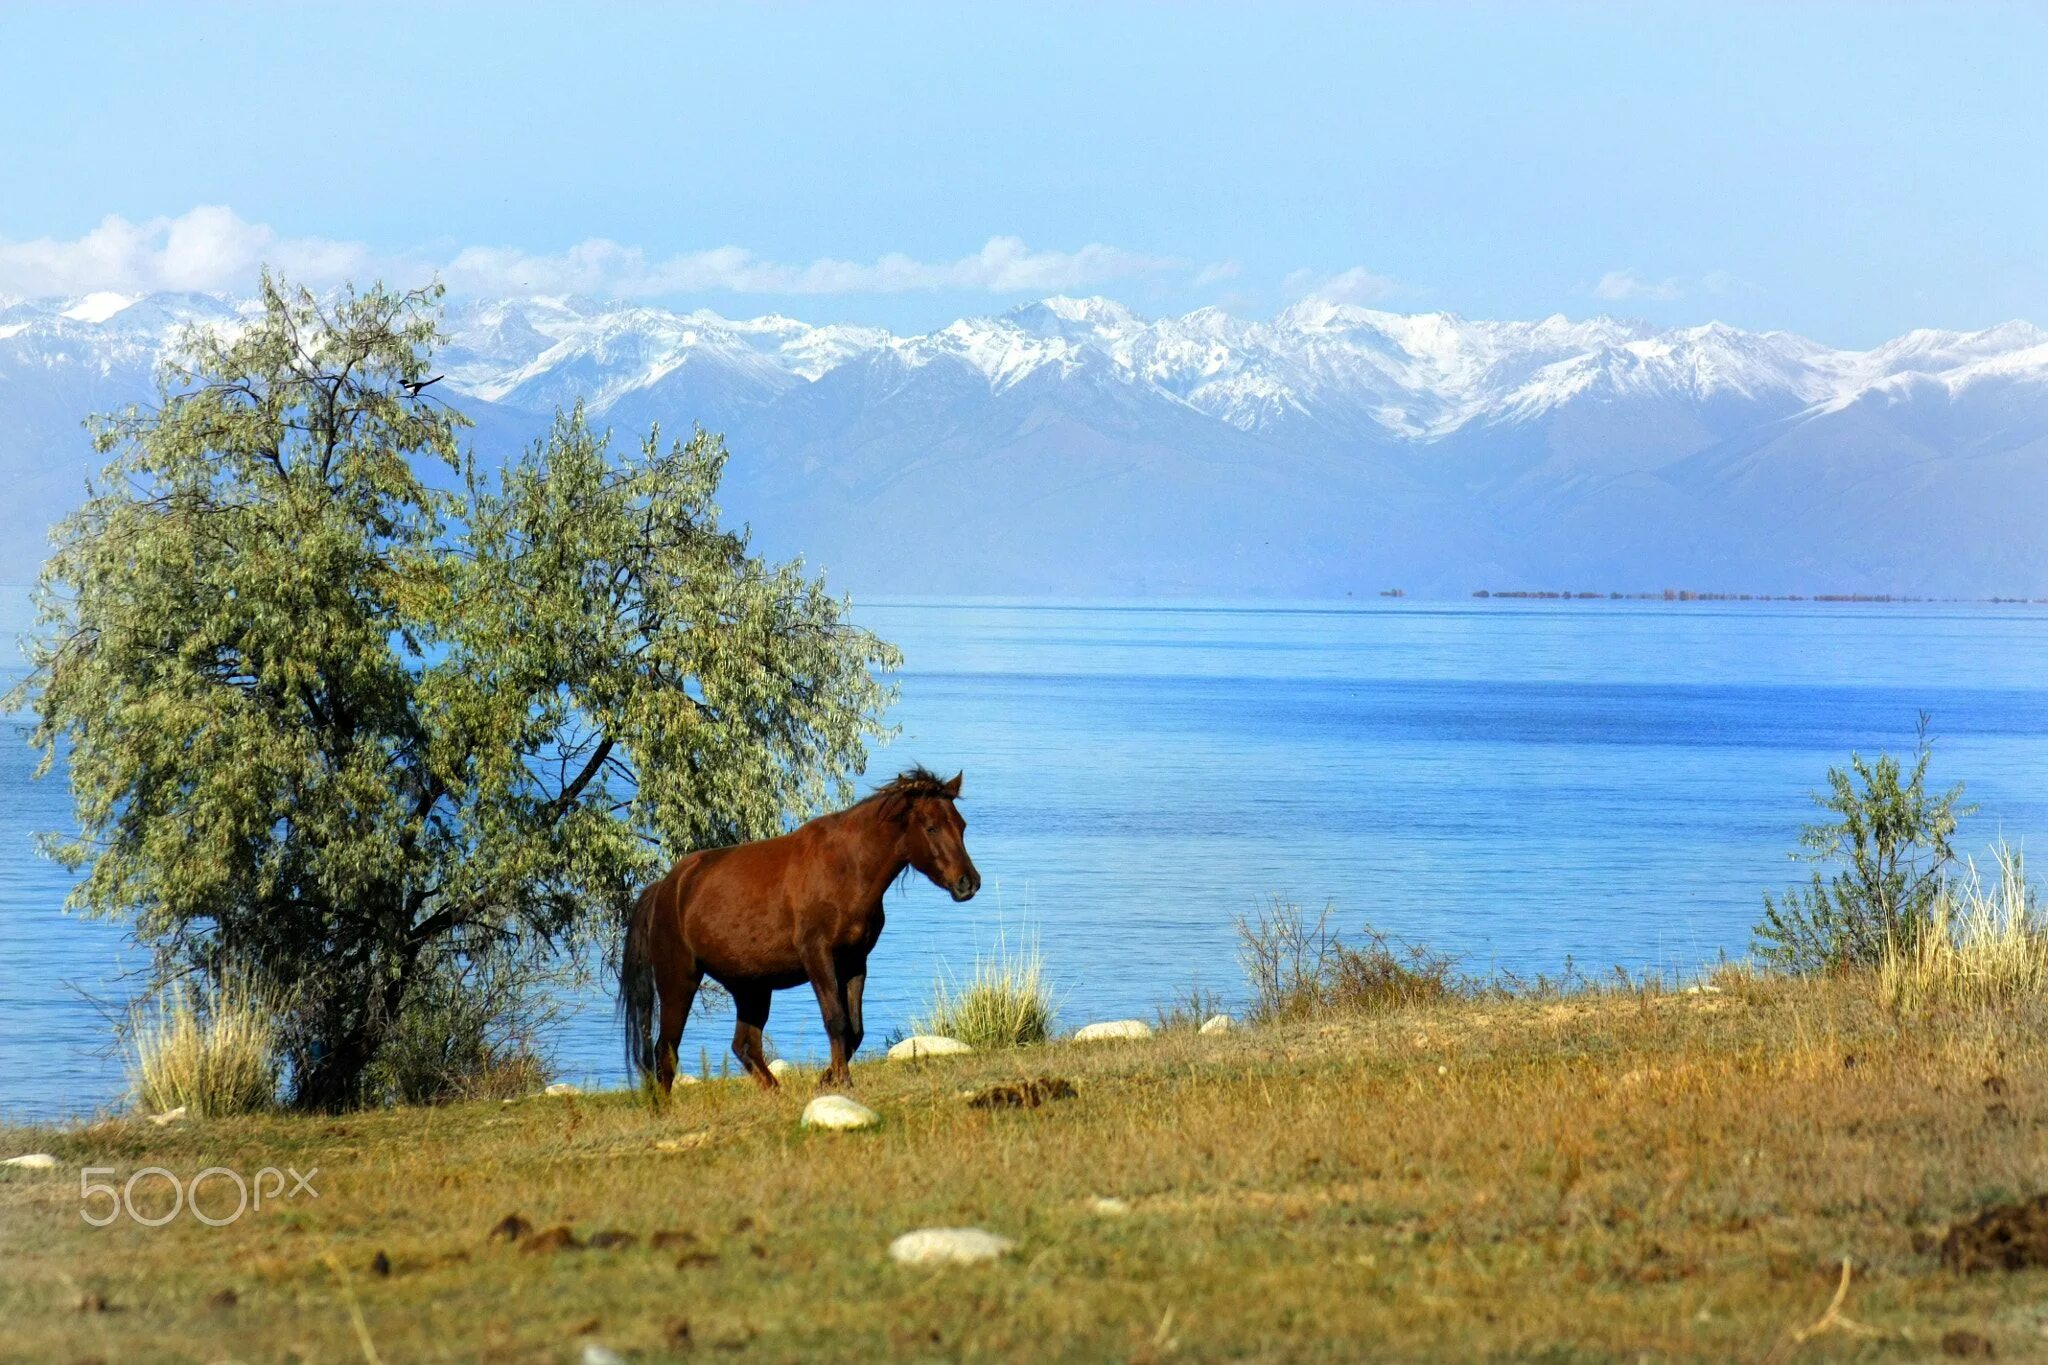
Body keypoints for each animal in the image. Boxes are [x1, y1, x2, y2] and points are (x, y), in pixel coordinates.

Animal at [618, 769, 978, 1088]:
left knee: (744, 1045)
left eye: (961, 825)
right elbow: (836, 1020)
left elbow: (855, 1029)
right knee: (666, 1050)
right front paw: (842, 1080)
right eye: (931, 828)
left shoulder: (854, 961)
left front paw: (827, 1079)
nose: (968, 883)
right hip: (679, 980)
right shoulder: (817, 956)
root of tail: (666, 888)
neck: (846, 869)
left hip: (751, 987)